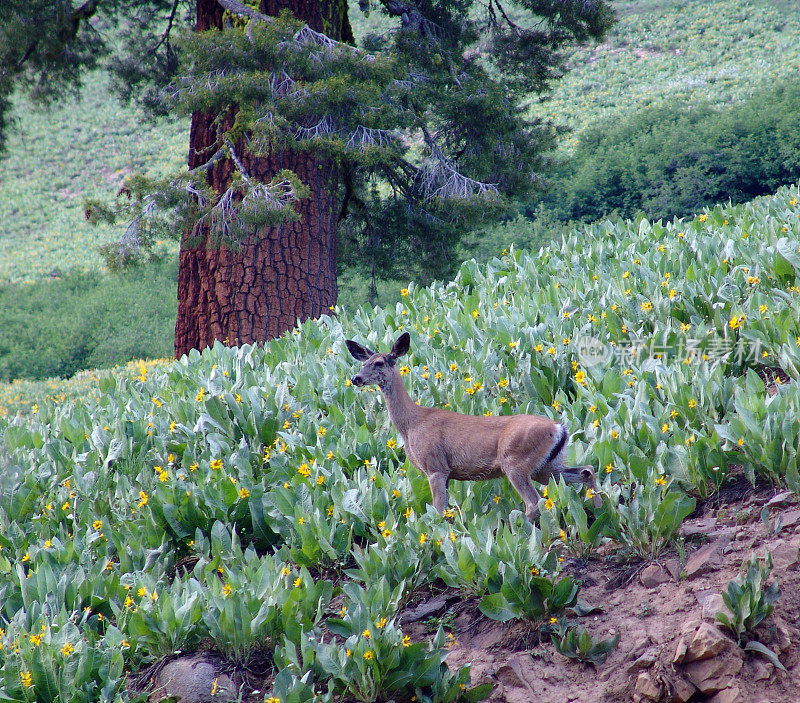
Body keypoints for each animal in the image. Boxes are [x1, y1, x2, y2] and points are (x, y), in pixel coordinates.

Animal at [344, 332, 600, 524]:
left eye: (378, 363)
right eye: (363, 362)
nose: (356, 378)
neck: (411, 424)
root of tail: (560, 428)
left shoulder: (435, 466)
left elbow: (439, 511)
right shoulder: (447, 473)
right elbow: (446, 511)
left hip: (516, 462)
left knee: (533, 502)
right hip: (547, 466)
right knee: (586, 470)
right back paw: (599, 510)